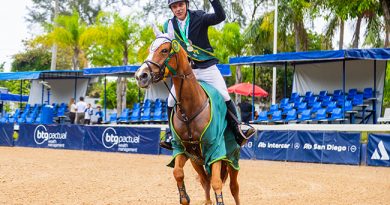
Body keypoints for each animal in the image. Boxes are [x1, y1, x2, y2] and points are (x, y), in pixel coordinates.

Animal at [136, 30, 242, 205]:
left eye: (164, 50)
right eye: (148, 50)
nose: (141, 76)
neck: (189, 112)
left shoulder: (215, 150)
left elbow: (217, 183)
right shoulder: (182, 150)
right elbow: (178, 173)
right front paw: (184, 197)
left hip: (232, 158)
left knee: (234, 187)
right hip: (197, 161)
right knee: (205, 181)